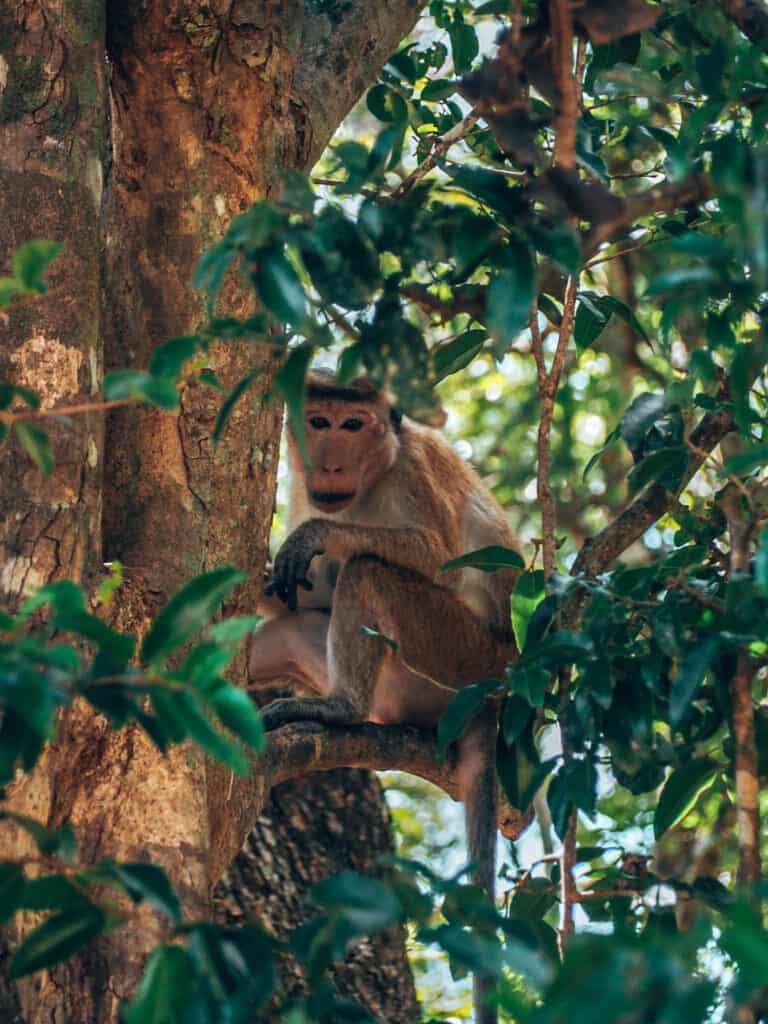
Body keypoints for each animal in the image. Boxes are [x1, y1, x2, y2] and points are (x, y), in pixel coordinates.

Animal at [249, 370, 520, 1024]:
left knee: (370, 569)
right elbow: (303, 599)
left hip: (460, 657)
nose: (330, 462)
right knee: (296, 626)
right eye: (318, 421)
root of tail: (496, 694)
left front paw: (314, 537)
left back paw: (339, 707)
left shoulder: (414, 471)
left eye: (354, 425)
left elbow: (434, 552)